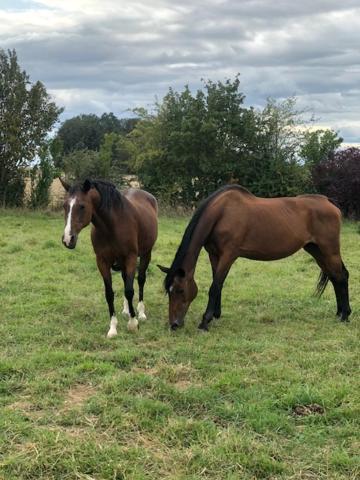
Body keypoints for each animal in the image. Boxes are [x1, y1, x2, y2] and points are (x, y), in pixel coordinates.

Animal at [59, 177, 158, 338]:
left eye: (82, 206)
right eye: (64, 206)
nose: (68, 239)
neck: (112, 225)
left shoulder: (131, 258)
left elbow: (129, 290)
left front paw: (133, 323)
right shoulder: (102, 261)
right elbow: (109, 293)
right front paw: (113, 328)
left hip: (146, 254)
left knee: (141, 280)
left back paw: (141, 313)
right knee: (126, 280)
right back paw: (126, 310)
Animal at [158, 186, 352, 332]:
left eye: (180, 290)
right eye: (169, 291)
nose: (174, 324)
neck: (221, 213)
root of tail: (328, 202)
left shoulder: (228, 255)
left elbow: (215, 286)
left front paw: (205, 321)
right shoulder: (214, 255)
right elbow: (217, 284)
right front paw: (216, 314)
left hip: (329, 250)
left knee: (341, 276)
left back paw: (345, 315)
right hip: (317, 250)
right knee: (335, 277)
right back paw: (339, 312)